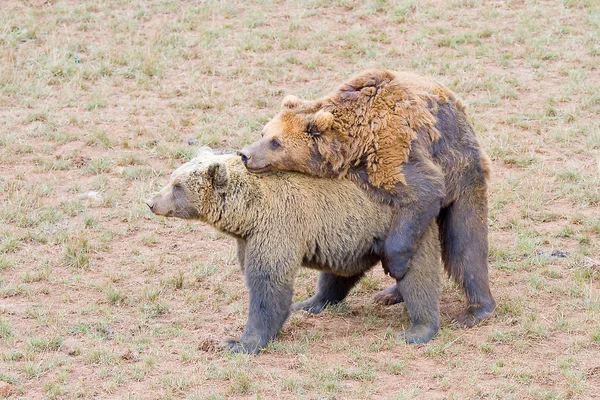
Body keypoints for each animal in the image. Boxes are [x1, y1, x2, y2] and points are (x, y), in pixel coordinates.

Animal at [148, 148, 442, 354]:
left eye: (177, 186)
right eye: (172, 178)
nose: (151, 202)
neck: (249, 213)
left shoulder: (276, 229)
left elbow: (268, 286)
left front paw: (239, 342)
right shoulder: (248, 240)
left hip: (404, 230)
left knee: (418, 278)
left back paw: (418, 328)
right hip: (352, 238)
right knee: (338, 275)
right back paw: (312, 303)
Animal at [239, 69, 496, 326]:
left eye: (275, 142)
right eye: (263, 132)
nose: (245, 154)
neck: (352, 144)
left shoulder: (391, 148)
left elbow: (424, 189)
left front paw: (395, 266)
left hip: (460, 169)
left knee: (465, 243)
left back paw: (476, 309)